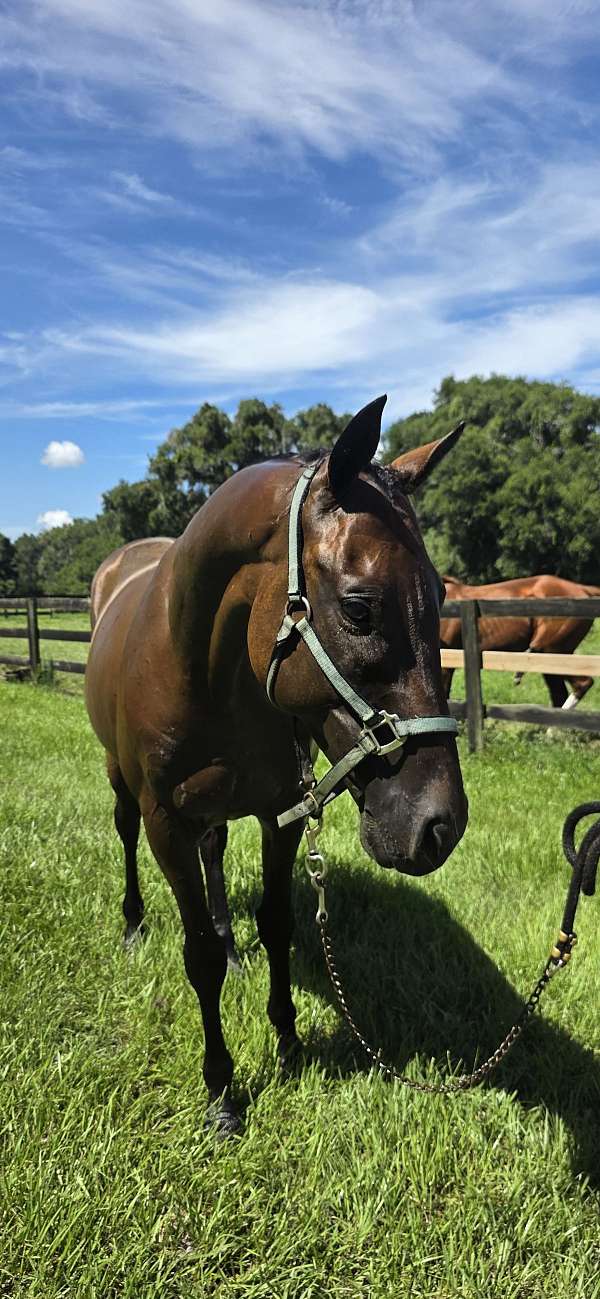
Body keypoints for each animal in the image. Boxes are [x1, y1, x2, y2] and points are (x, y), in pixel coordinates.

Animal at [85, 397, 468, 1134]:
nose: (440, 825)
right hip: (122, 782)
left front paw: (287, 1039)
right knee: (124, 835)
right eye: (359, 607)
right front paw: (221, 1091)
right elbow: (198, 956)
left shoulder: (279, 811)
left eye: (441, 595)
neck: (208, 669)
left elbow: (279, 922)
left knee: (215, 853)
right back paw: (133, 926)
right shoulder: (165, 822)